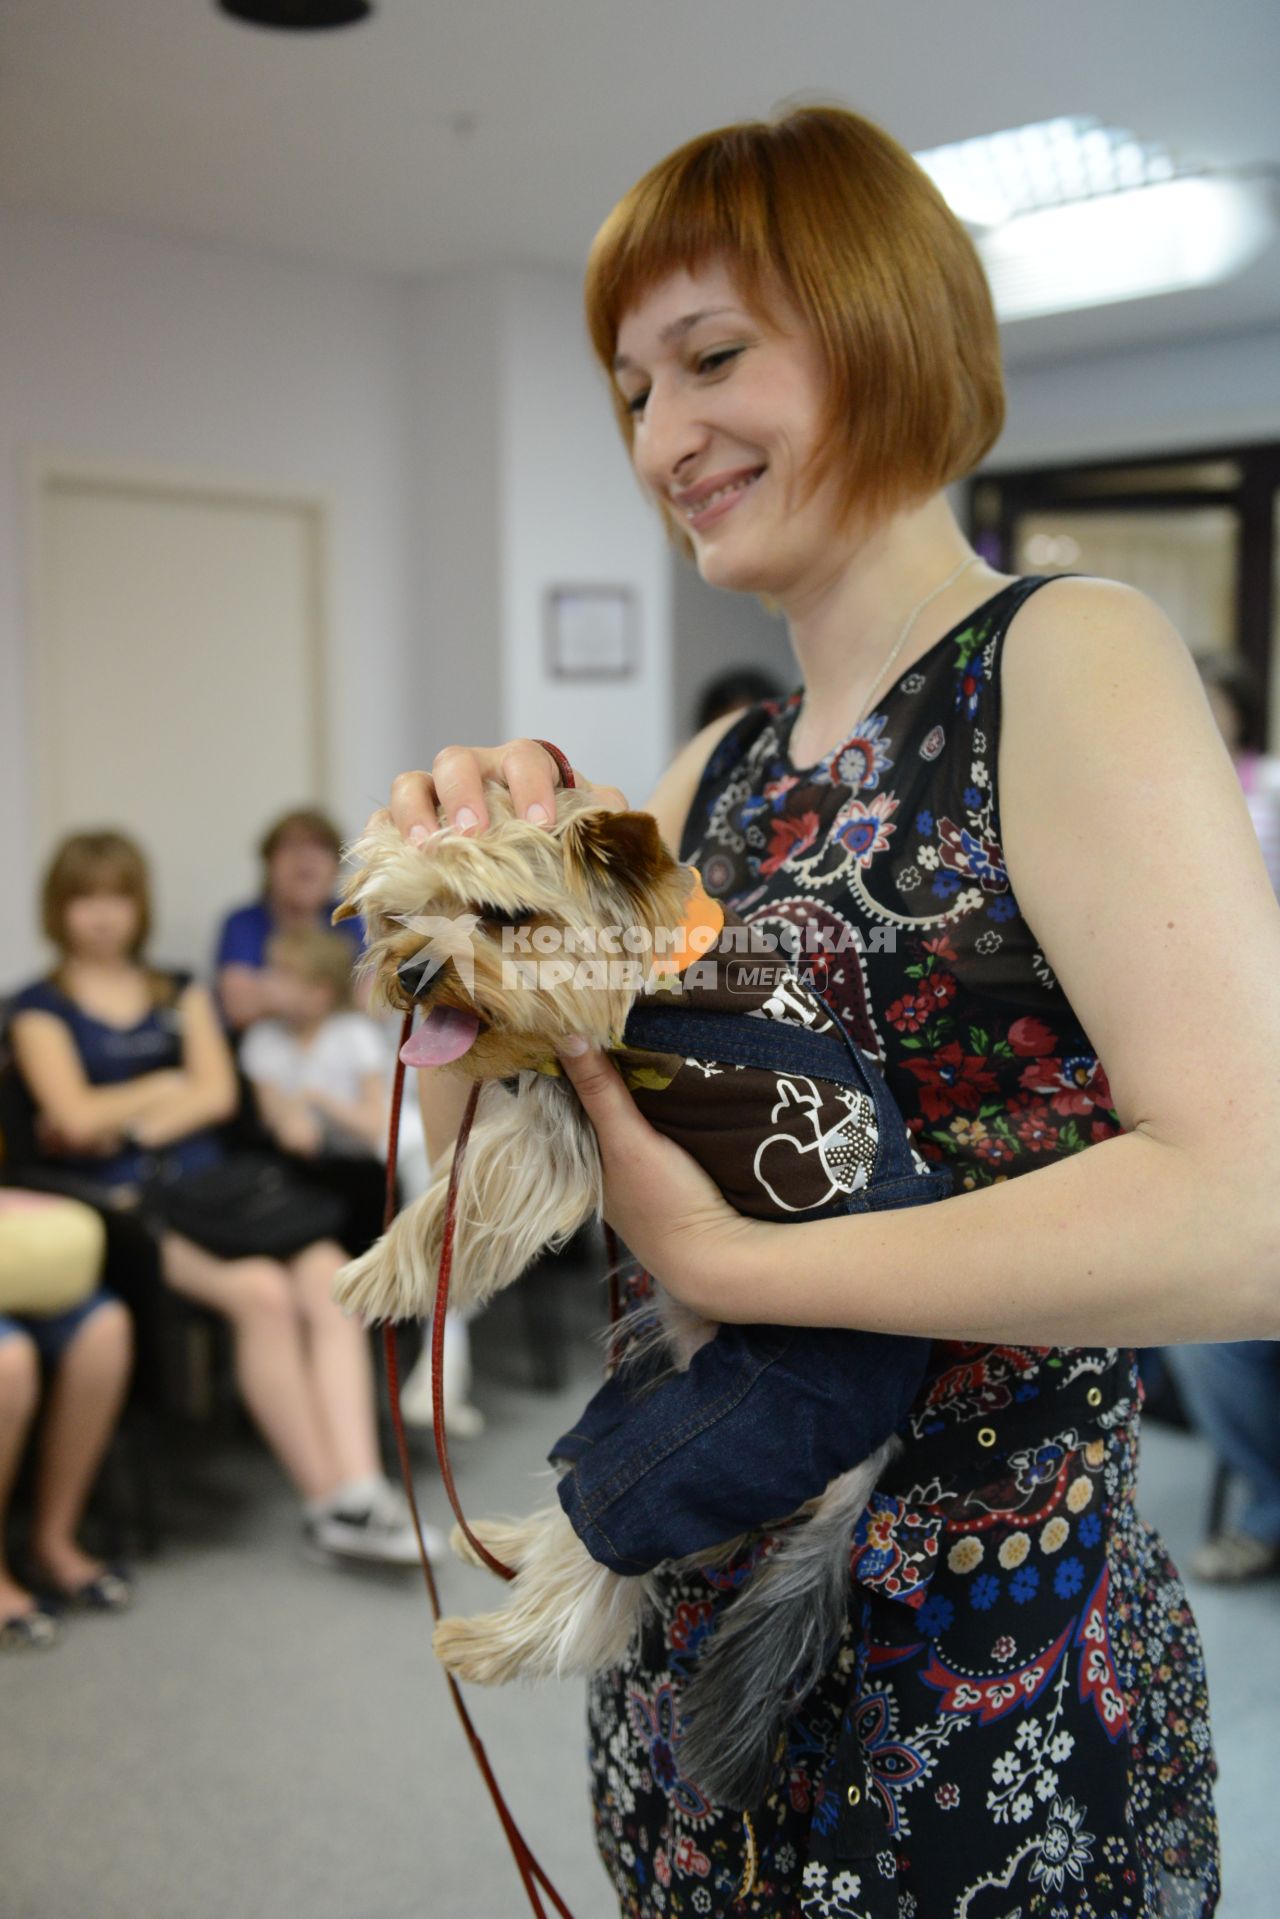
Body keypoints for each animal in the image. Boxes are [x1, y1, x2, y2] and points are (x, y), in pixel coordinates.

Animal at [333, 786, 932, 1803]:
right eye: (399, 914)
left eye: (503, 916)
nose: (411, 972)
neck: (653, 963)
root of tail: (875, 1446)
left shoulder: (569, 1110)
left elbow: (467, 1193)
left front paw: (374, 1272)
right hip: (656, 1372)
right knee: (633, 1494)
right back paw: (513, 1542)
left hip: (758, 1409)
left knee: (619, 1532)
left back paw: (488, 1639)